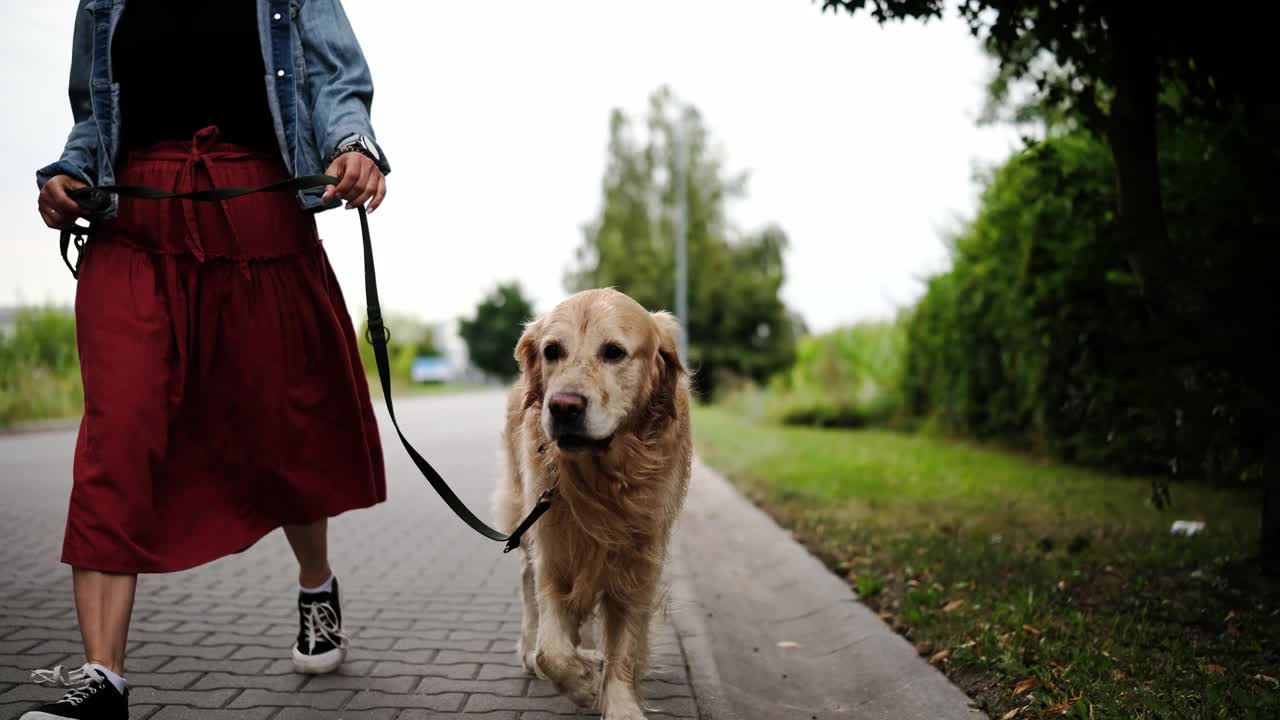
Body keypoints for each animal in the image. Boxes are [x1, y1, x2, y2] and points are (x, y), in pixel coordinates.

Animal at [491, 286, 691, 717]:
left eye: (614, 352)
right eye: (552, 351)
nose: (563, 407)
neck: (601, 479)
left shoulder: (639, 559)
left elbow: (625, 645)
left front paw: (619, 704)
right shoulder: (552, 550)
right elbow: (551, 648)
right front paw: (581, 684)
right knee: (529, 594)